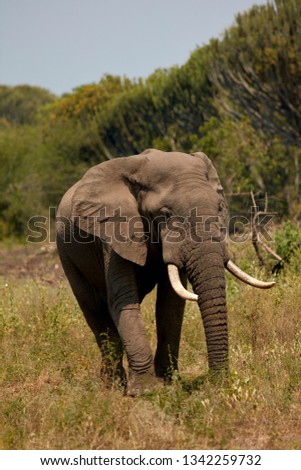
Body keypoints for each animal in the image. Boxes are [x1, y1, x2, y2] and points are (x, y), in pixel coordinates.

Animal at [54, 149, 274, 394]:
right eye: (165, 215)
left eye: (220, 208)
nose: (219, 382)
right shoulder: (114, 235)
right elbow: (123, 300)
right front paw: (144, 392)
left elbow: (170, 304)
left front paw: (169, 383)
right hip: (66, 254)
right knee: (95, 312)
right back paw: (111, 386)